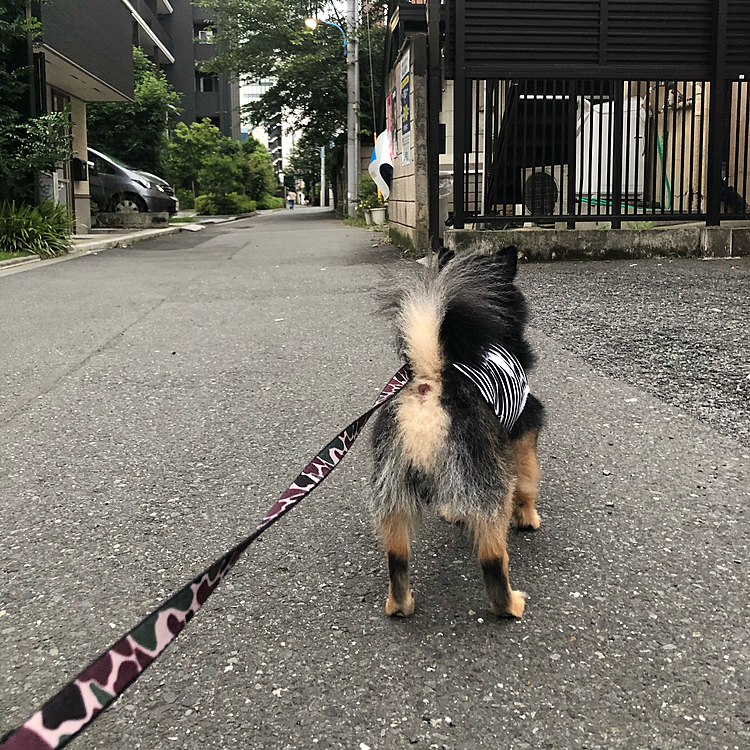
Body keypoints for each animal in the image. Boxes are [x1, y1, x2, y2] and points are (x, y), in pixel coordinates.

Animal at [372, 250, 544, 620]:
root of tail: (429, 383)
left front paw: (454, 514)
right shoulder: (523, 434)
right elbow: (527, 483)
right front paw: (528, 518)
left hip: (393, 489)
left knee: (397, 558)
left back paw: (400, 605)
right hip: (489, 485)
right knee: (493, 560)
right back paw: (510, 606)